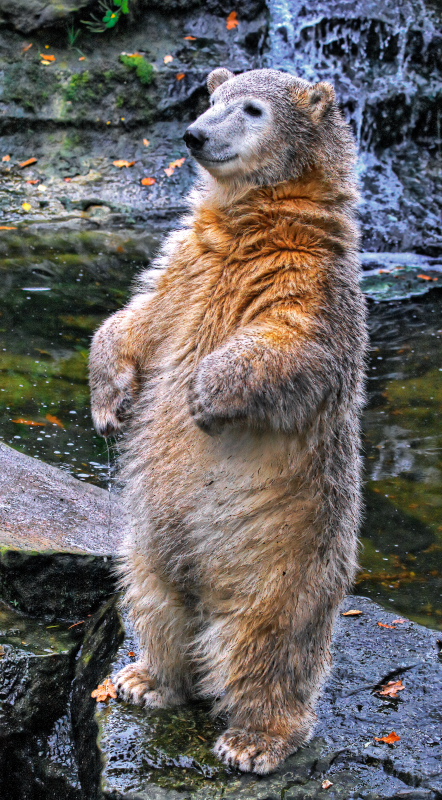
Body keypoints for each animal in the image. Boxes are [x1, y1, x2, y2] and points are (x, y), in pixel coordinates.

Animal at [89, 67, 366, 776]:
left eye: (252, 108)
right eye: (211, 97)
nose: (195, 134)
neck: (259, 220)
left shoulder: (311, 279)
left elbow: (290, 344)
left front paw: (203, 397)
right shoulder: (188, 263)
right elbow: (138, 318)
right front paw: (109, 403)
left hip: (288, 557)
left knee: (267, 647)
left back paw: (255, 739)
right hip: (149, 547)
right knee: (155, 601)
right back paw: (146, 679)